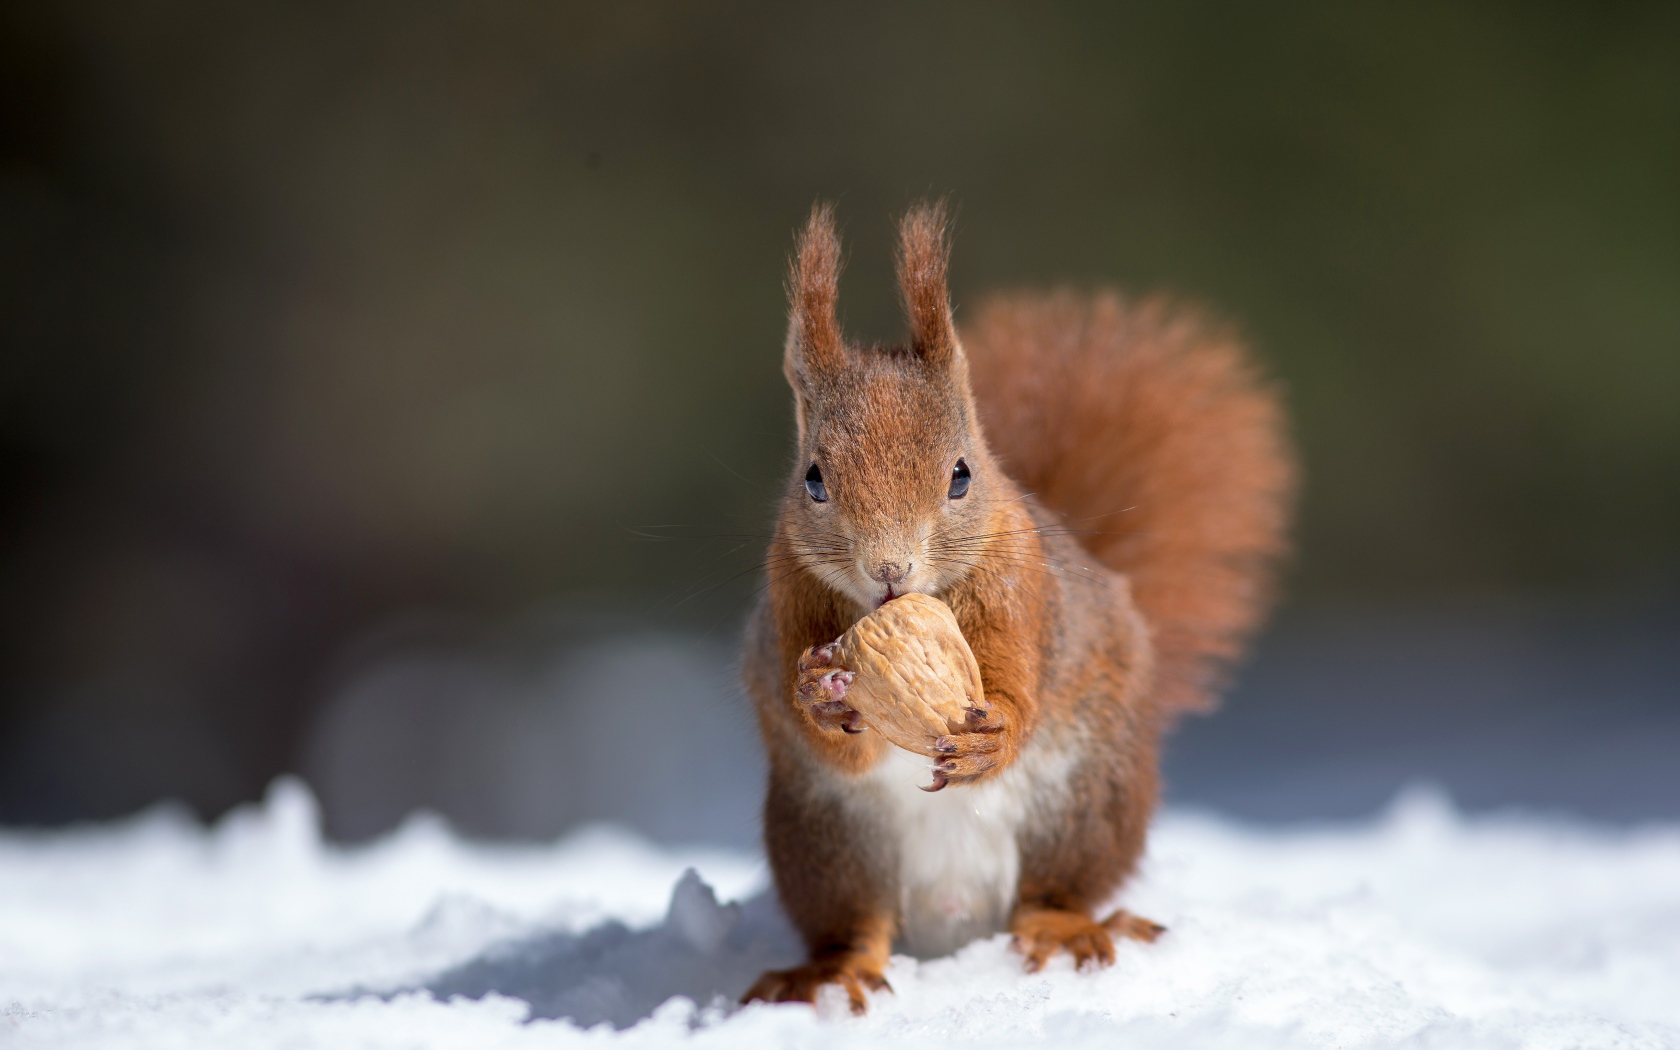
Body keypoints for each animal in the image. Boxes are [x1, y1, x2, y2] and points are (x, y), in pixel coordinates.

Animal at [739, 200, 1296, 1014]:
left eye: (961, 475)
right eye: (813, 478)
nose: (889, 571)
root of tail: (954, 913)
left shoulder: (1021, 597)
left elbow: (1019, 689)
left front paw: (990, 736)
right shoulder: (789, 601)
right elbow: (833, 740)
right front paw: (822, 691)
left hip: (1082, 802)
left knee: (1053, 891)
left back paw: (1066, 932)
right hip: (827, 843)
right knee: (856, 925)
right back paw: (832, 973)